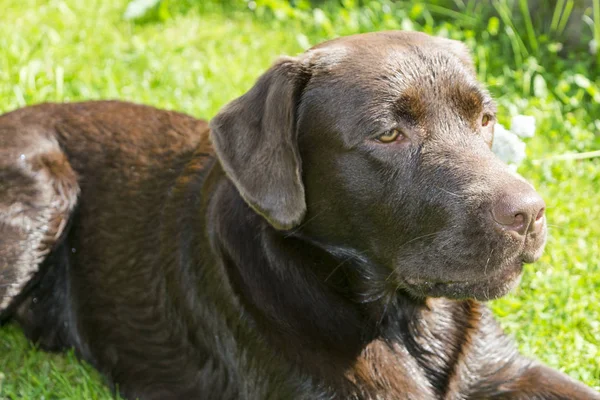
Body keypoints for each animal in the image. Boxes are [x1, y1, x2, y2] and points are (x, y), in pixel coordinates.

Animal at [1, 32, 600, 400]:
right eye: (389, 133)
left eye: (485, 118)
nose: (530, 213)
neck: (404, 317)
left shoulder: (505, 371)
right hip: (41, 196)